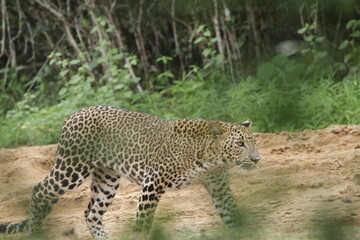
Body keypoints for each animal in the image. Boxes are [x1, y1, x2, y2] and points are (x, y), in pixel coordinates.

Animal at [0, 105, 258, 238]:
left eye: (255, 142)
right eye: (239, 144)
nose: (256, 159)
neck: (214, 159)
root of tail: (75, 113)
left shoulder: (219, 188)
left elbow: (234, 214)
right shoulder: (153, 181)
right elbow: (143, 221)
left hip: (106, 179)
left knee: (91, 212)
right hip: (71, 167)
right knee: (40, 191)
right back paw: (35, 232)